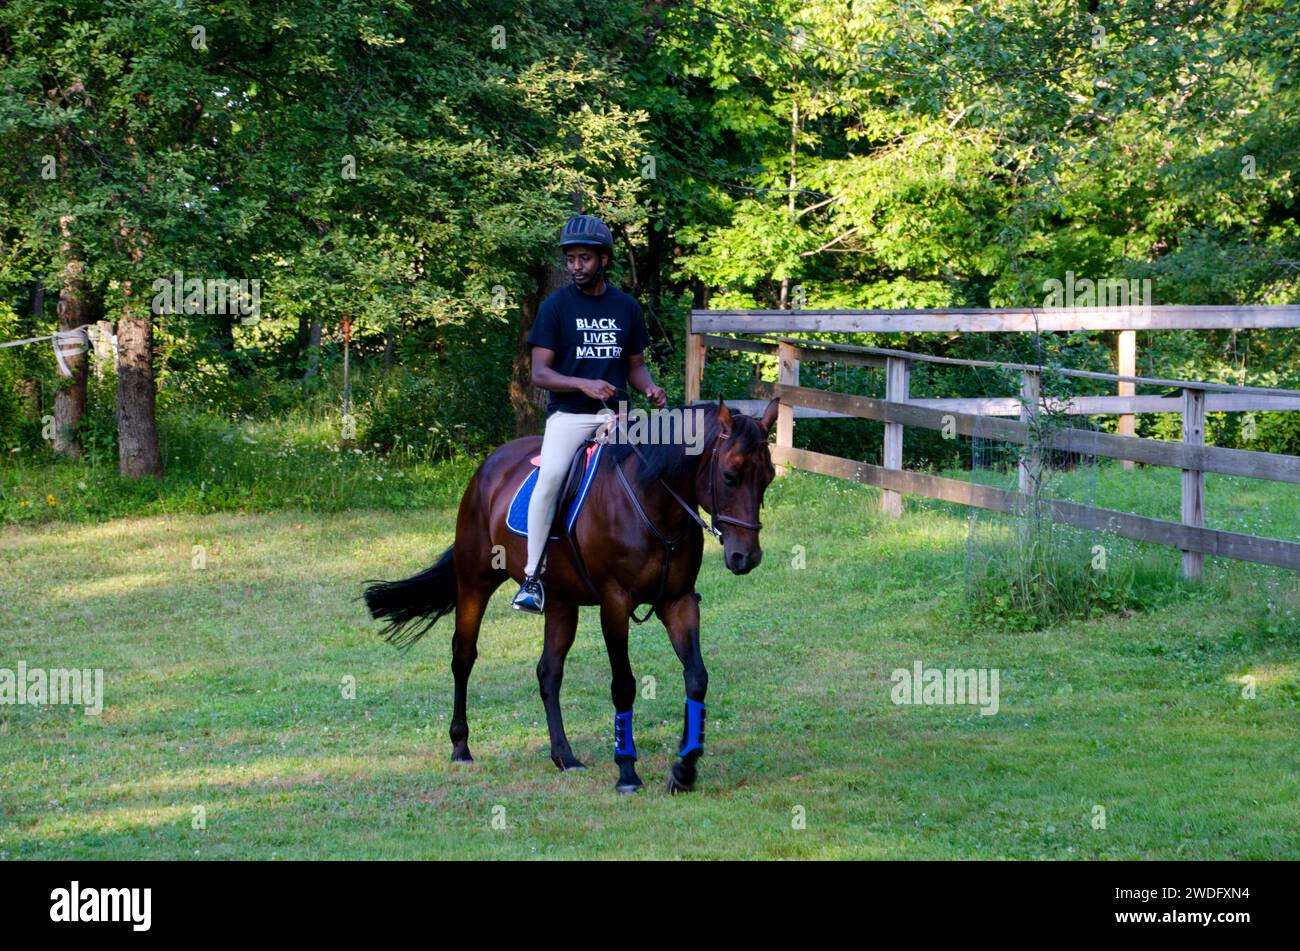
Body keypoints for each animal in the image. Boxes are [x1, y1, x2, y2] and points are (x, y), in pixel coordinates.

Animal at [361, 397, 774, 789]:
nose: (746, 557)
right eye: (730, 475)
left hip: (561, 602)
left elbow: (697, 677)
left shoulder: (678, 602)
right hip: (475, 581)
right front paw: (627, 771)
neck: (652, 503)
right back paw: (461, 746)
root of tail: (488, 466)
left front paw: (684, 770)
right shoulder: (615, 603)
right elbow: (623, 685)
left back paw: (564, 756)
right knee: (463, 657)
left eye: (768, 478)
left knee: (548, 672)